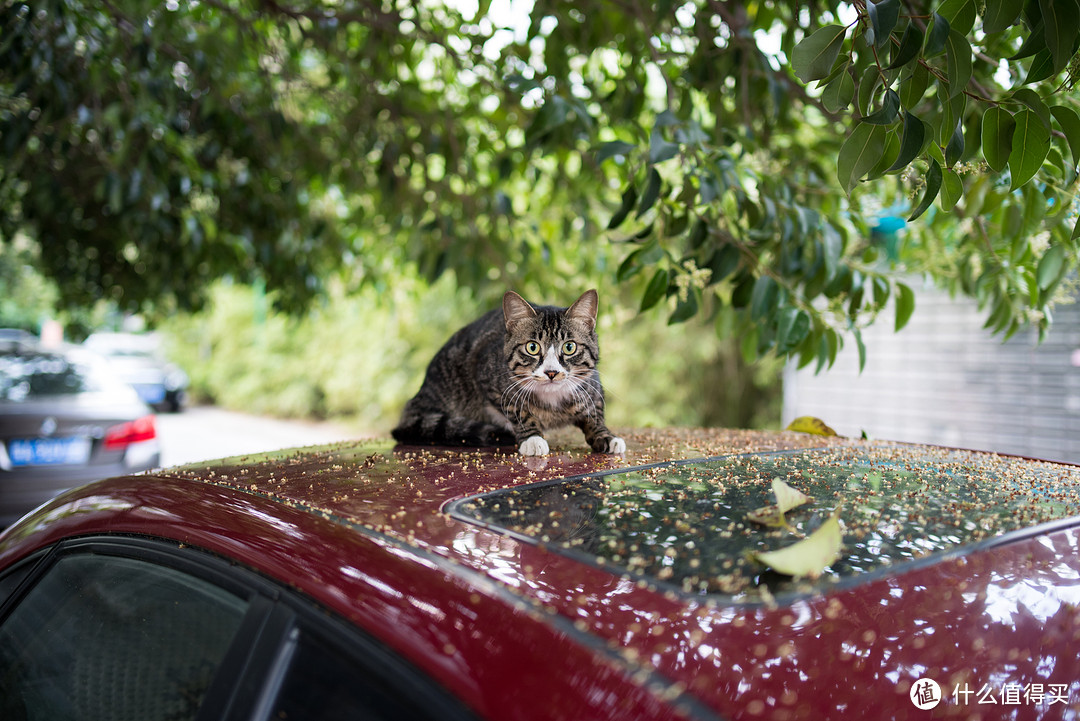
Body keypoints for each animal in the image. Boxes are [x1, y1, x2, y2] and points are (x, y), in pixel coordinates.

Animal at [390, 289, 626, 453]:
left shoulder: (593, 386)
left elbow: (594, 414)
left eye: (569, 347)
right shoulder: (489, 381)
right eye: (532, 347)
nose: (551, 372)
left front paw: (606, 435)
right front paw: (532, 438)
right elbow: (518, 410)